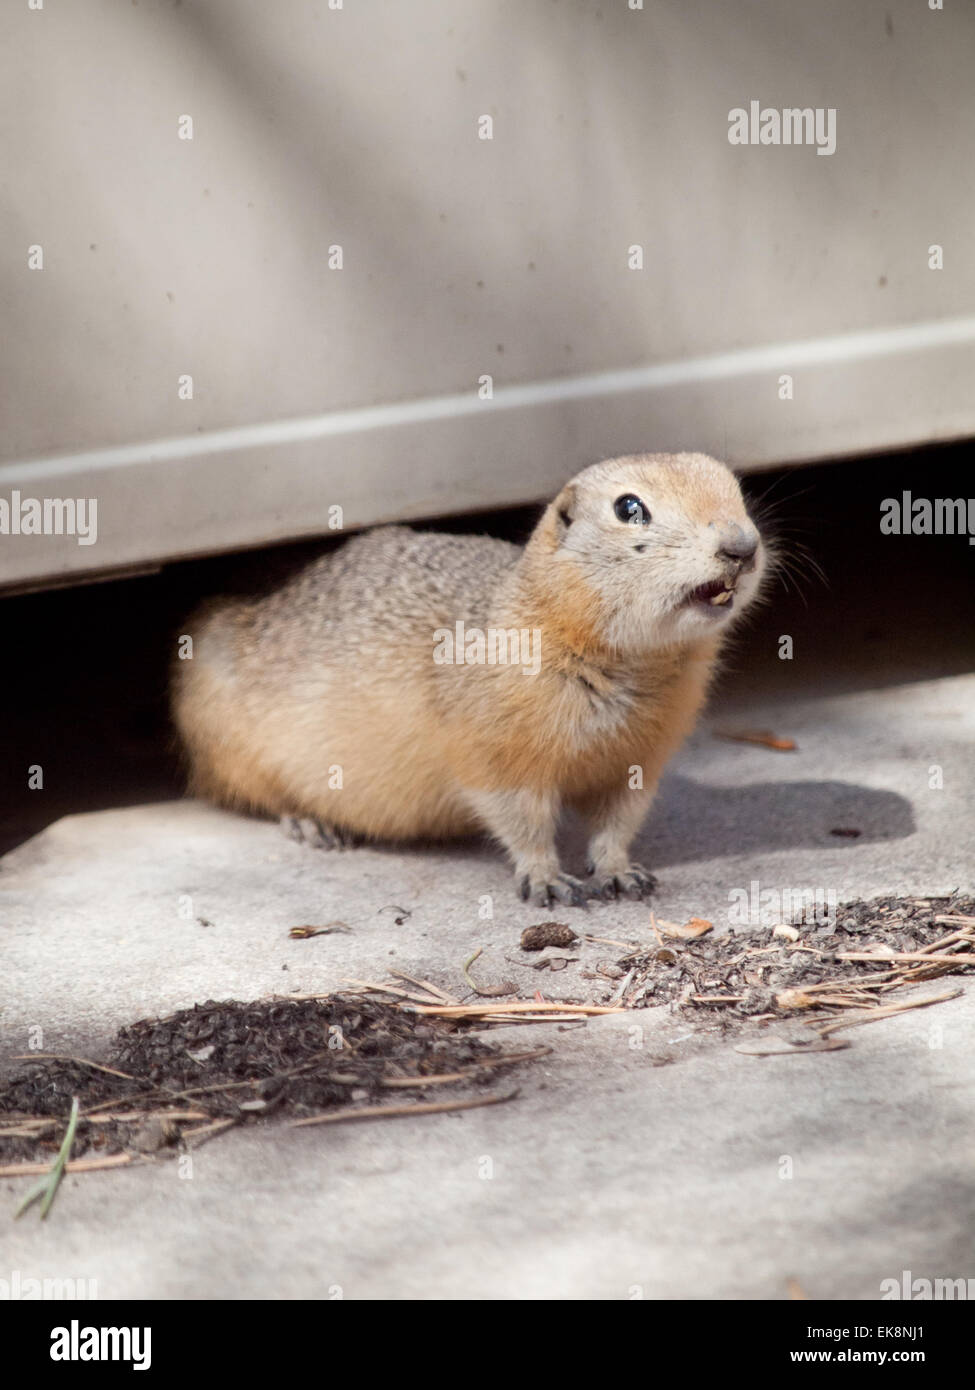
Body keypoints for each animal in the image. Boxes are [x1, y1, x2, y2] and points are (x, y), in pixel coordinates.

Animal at [175, 455, 767, 906]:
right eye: (629, 508)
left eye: (735, 488)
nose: (742, 547)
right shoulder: (493, 751)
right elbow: (522, 818)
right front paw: (547, 879)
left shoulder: (638, 759)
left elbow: (617, 821)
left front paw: (620, 871)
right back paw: (310, 822)